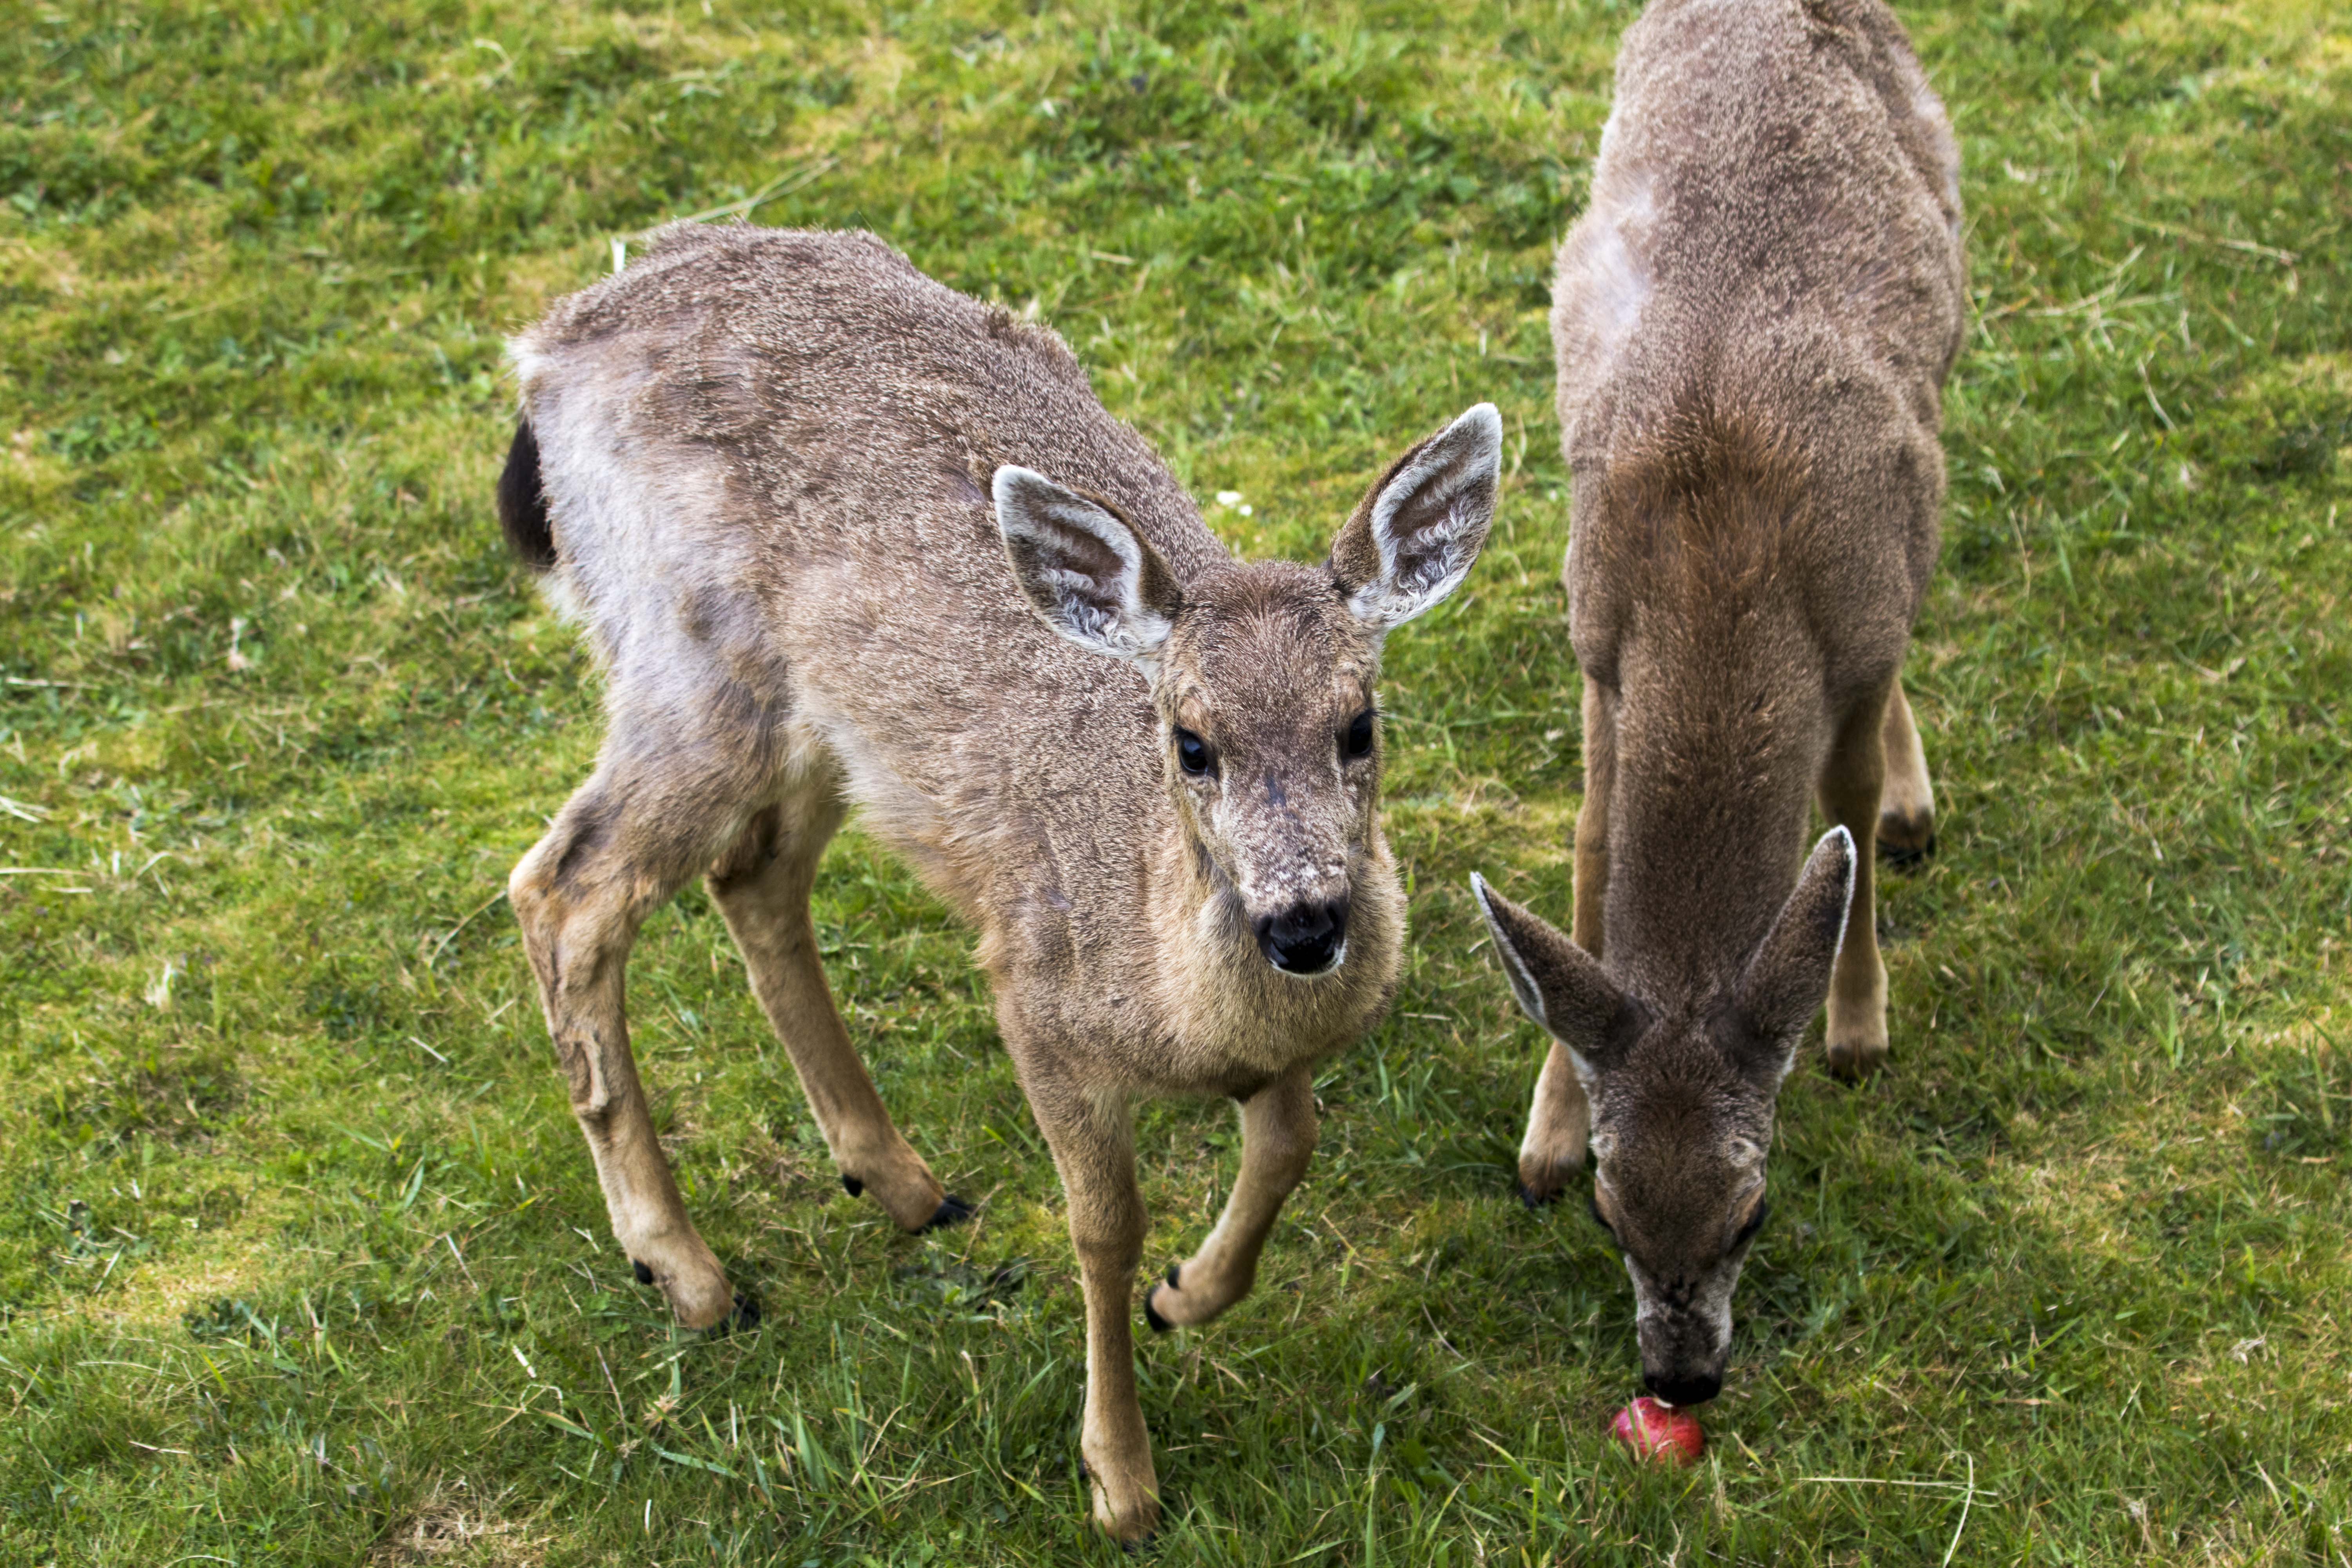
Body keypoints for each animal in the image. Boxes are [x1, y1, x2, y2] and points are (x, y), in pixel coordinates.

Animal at [492, 223, 1505, 1542]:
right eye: (1189, 742)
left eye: (1359, 724)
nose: (1304, 922)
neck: (1174, 996)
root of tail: (550, 342)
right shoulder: (1032, 992)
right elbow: (1102, 1226)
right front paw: (1121, 1480)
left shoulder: (1278, 1051)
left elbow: (1290, 1145)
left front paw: (1189, 1295)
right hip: (686, 665)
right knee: (565, 887)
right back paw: (691, 1274)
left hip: (831, 728)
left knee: (751, 873)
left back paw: (900, 1184)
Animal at [1486, 0, 1966, 1410]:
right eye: (1611, 1211)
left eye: (1753, 1214)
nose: (1681, 1378)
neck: (1722, 573)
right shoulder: (1600, 634)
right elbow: (1591, 851)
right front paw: (1542, 1128)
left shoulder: (1854, 627)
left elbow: (1843, 803)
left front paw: (1857, 1025)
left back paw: (1913, 807)